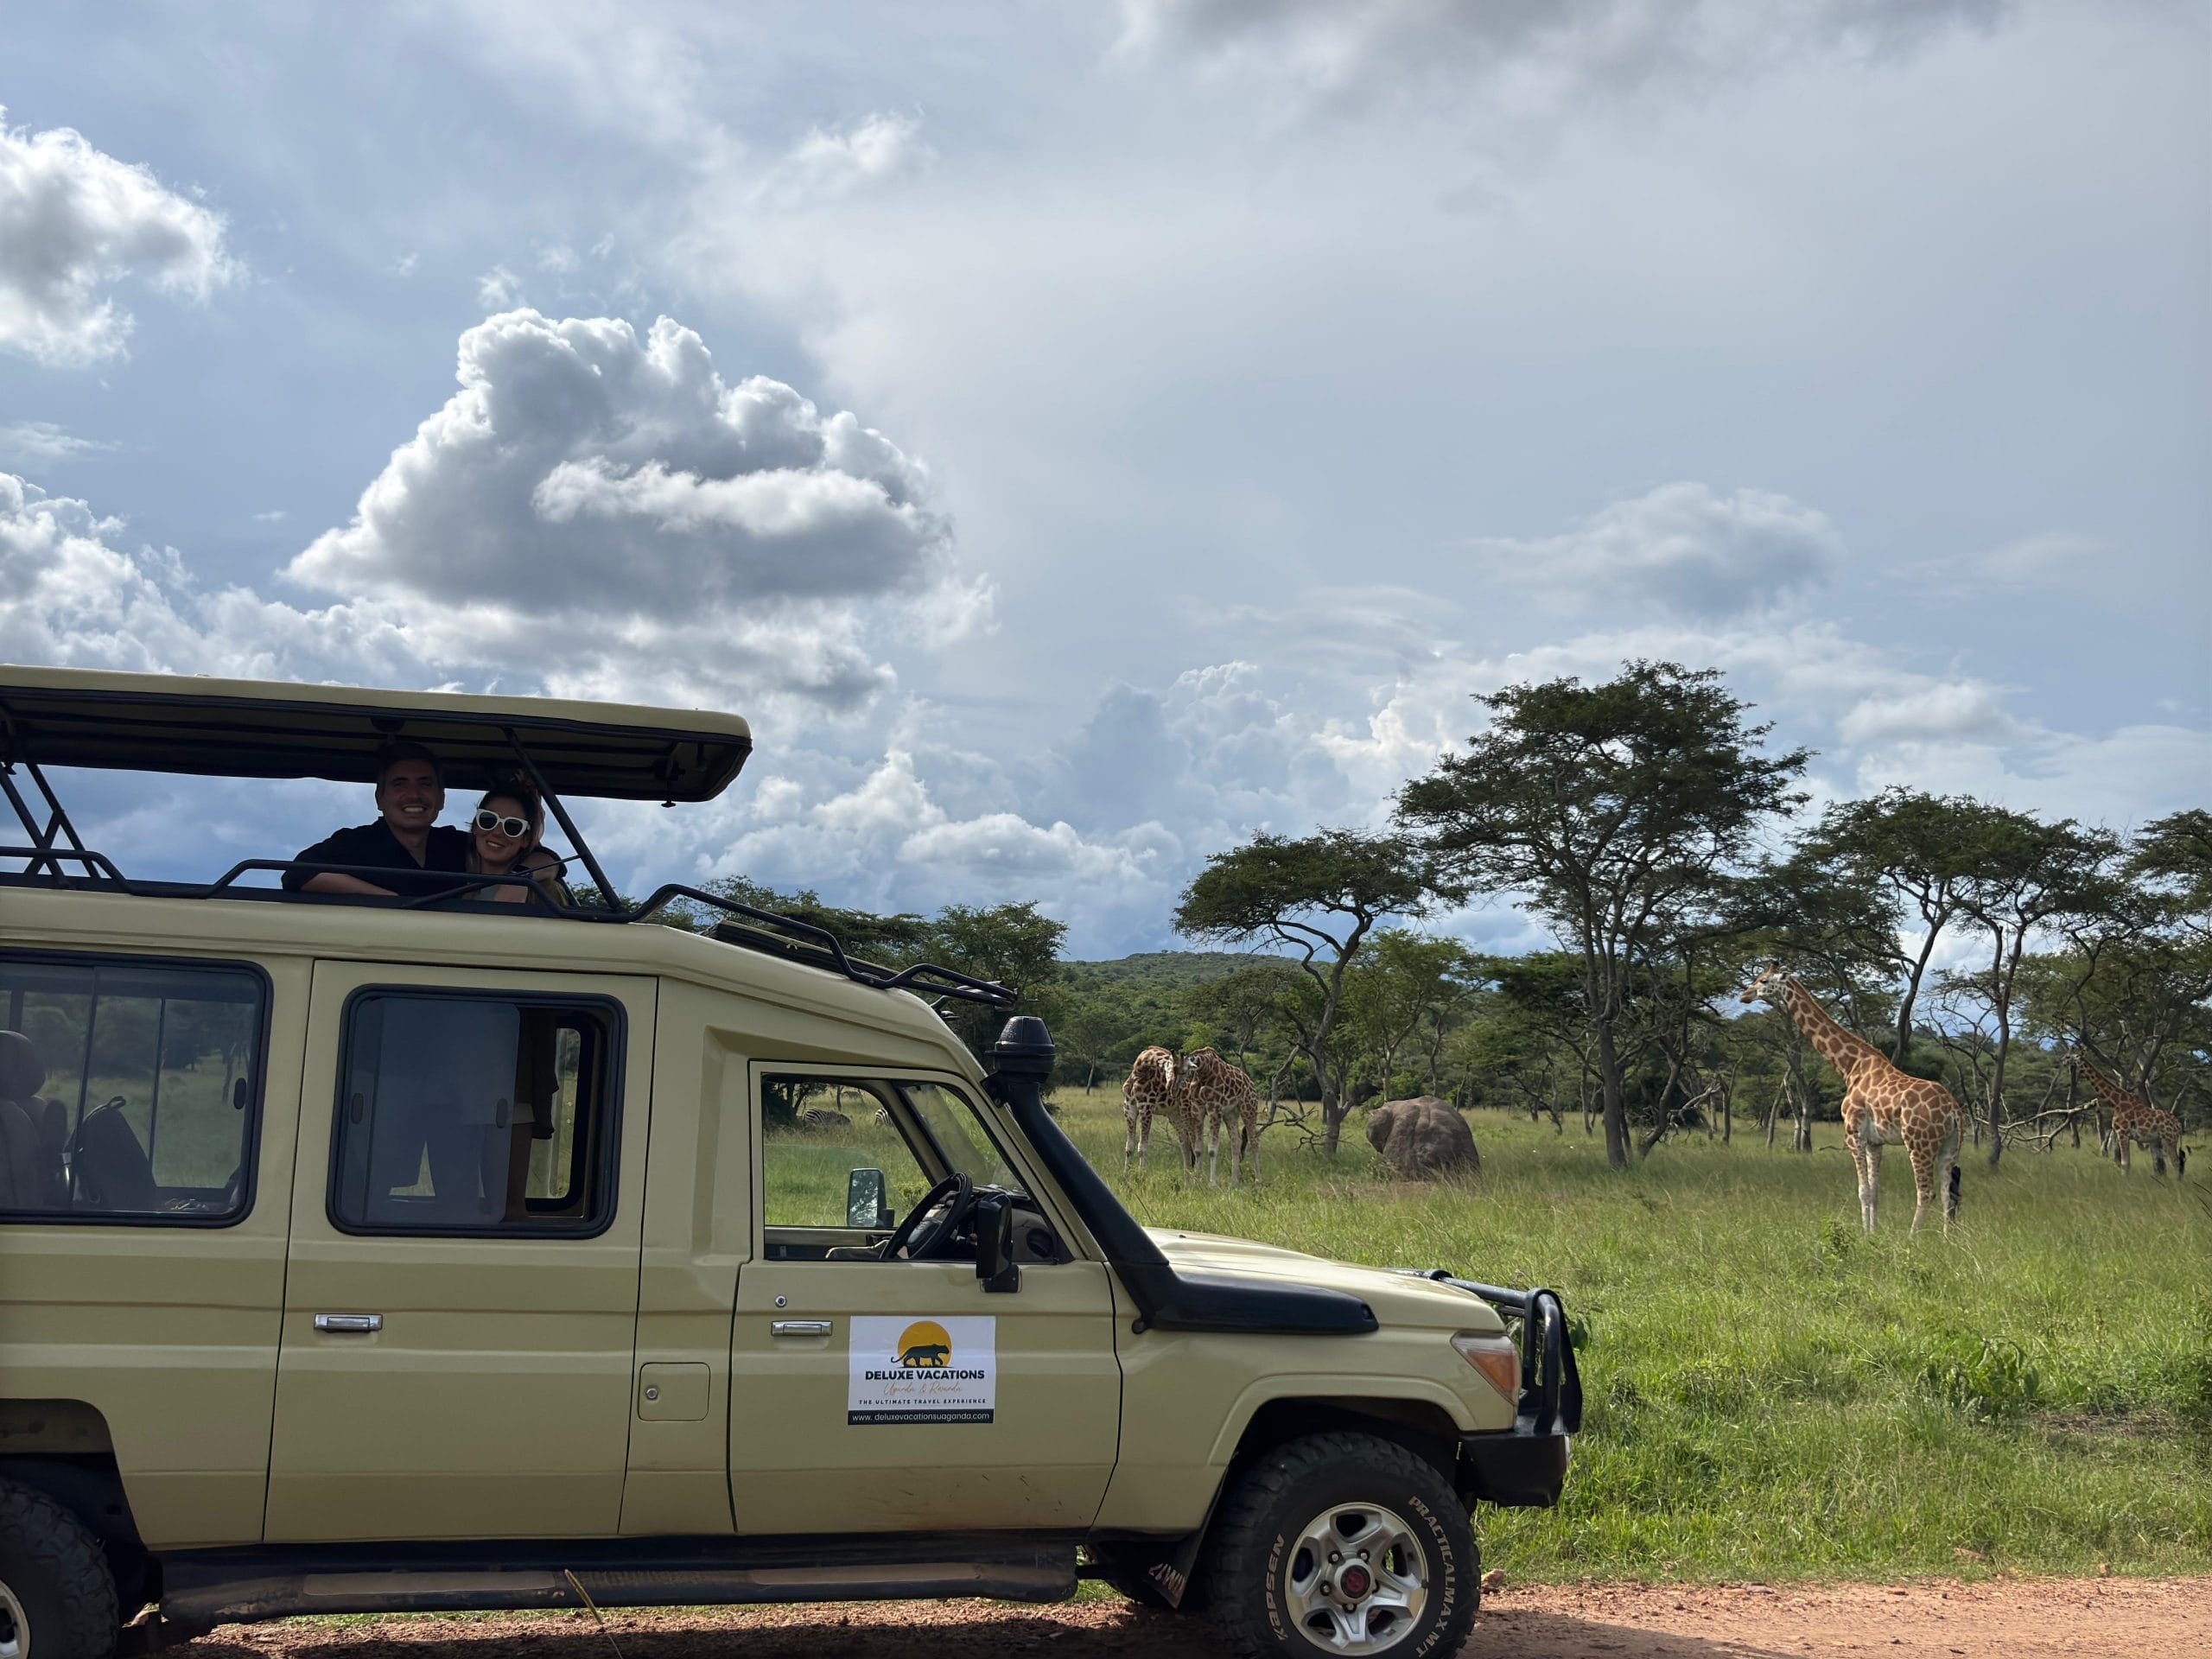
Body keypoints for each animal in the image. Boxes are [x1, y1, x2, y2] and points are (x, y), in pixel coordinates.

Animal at [1176, 1046, 1264, 1186]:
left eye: (1185, 1071)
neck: (1203, 1074)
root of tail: (1252, 1084)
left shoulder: (1214, 1110)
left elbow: (1212, 1150)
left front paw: (1212, 1183)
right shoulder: (1197, 1110)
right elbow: (1198, 1149)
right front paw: (1197, 1181)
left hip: (1249, 1108)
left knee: (1253, 1141)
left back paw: (1258, 1179)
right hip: (1231, 1114)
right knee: (1236, 1142)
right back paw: (1233, 1182)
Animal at [1740, 963, 1964, 1235]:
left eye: (1763, 980)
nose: (1744, 996)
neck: (1850, 1066)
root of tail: (1954, 1111)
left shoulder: (1852, 1134)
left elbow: (1863, 1191)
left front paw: (1864, 1235)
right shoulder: (1874, 1142)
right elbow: (1875, 1192)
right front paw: (1873, 1233)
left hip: (1918, 1142)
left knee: (1926, 1192)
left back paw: (1912, 1238)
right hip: (1950, 1146)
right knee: (1947, 1193)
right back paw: (1947, 1239)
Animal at [2075, 1054, 2187, 1179]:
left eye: (2068, 1057)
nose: (2064, 1062)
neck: (2116, 1102)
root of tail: (2178, 1125)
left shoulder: (2122, 1133)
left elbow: (2124, 1163)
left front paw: (2124, 1180)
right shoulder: (2120, 1134)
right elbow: (2124, 1161)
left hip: (2169, 1139)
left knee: (2176, 1162)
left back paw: (2177, 1182)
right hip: (2164, 1139)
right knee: (2177, 1161)